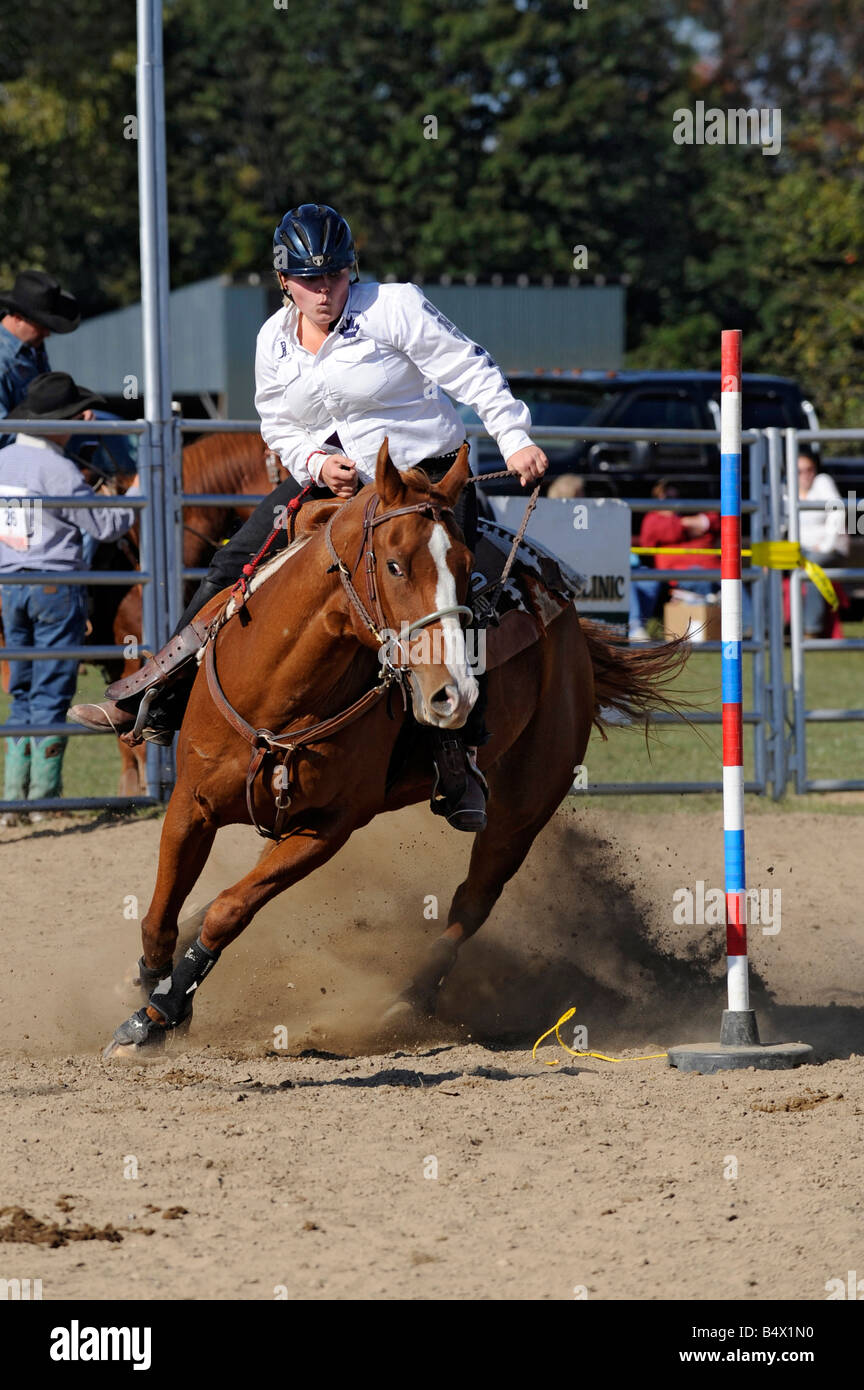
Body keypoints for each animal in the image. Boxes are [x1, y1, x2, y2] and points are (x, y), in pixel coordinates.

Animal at [104, 439, 691, 1056]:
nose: (455, 694)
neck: (278, 694)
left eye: (466, 570)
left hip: (525, 809)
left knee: (471, 902)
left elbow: (230, 909)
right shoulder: (191, 804)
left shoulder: (327, 829)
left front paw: (159, 1013)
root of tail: (569, 620)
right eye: (393, 564)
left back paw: (408, 1002)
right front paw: (150, 986)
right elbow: (161, 915)